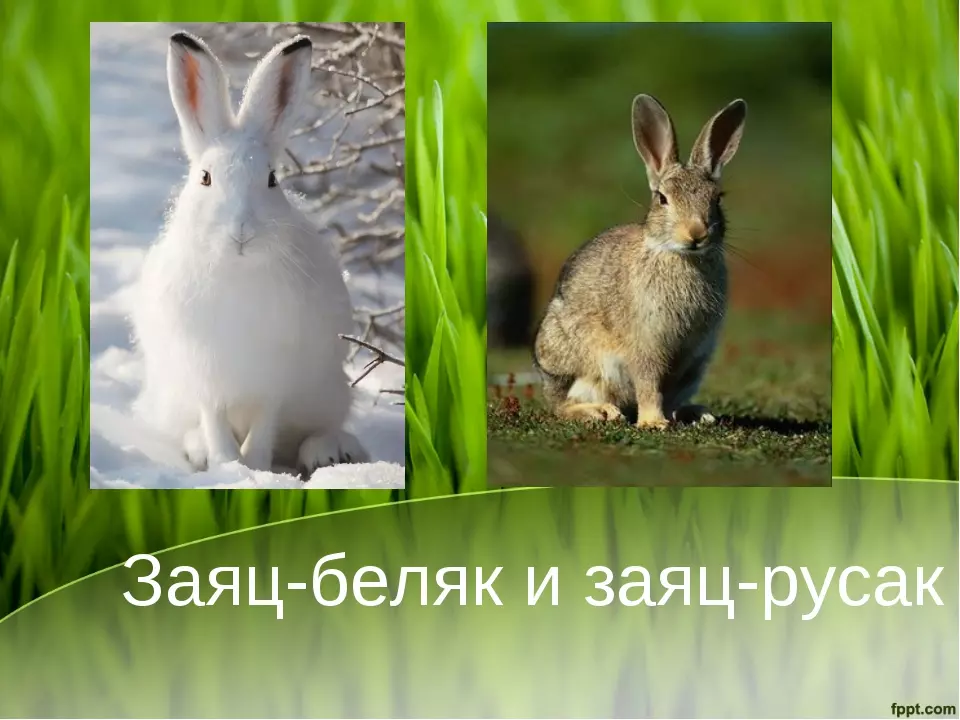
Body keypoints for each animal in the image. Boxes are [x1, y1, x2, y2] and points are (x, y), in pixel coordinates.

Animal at [130, 31, 370, 474]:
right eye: (205, 178)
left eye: (272, 179)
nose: (242, 231)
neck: (236, 271)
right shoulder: (205, 376)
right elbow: (214, 420)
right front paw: (227, 465)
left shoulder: (273, 379)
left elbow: (264, 423)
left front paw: (254, 466)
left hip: (328, 393)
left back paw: (330, 451)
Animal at [532, 94, 747, 429]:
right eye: (662, 199)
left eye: (717, 199)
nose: (696, 233)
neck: (678, 256)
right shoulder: (646, 343)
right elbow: (648, 382)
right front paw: (653, 423)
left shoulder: (687, 355)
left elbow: (665, 388)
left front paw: (666, 418)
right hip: (576, 360)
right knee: (563, 405)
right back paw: (599, 412)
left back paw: (697, 413)